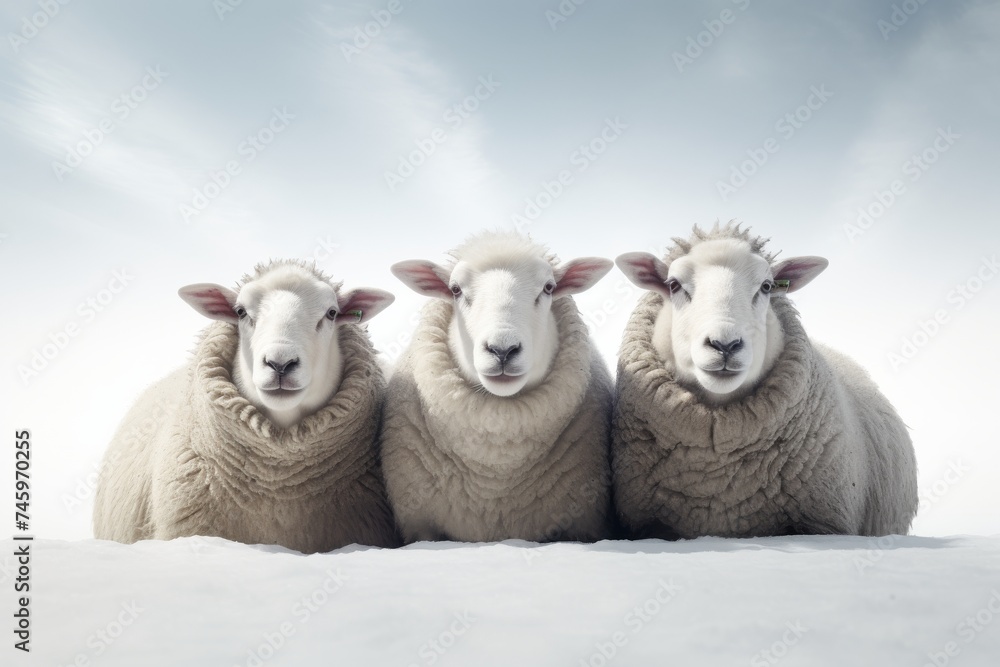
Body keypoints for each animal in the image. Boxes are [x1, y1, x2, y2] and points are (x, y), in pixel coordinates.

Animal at [381, 231, 616, 543]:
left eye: (549, 287)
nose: (502, 349)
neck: (495, 473)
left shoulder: (582, 525)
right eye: (455, 289)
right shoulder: (421, 527)